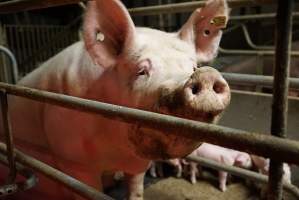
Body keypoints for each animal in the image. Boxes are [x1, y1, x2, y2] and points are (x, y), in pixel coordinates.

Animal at [0, 0, 232, 199]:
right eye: (141, 71)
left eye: (193, 67)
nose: (205, 75)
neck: (117, 152)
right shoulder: (73, 162)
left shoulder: (138, 163)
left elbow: (136, 189)